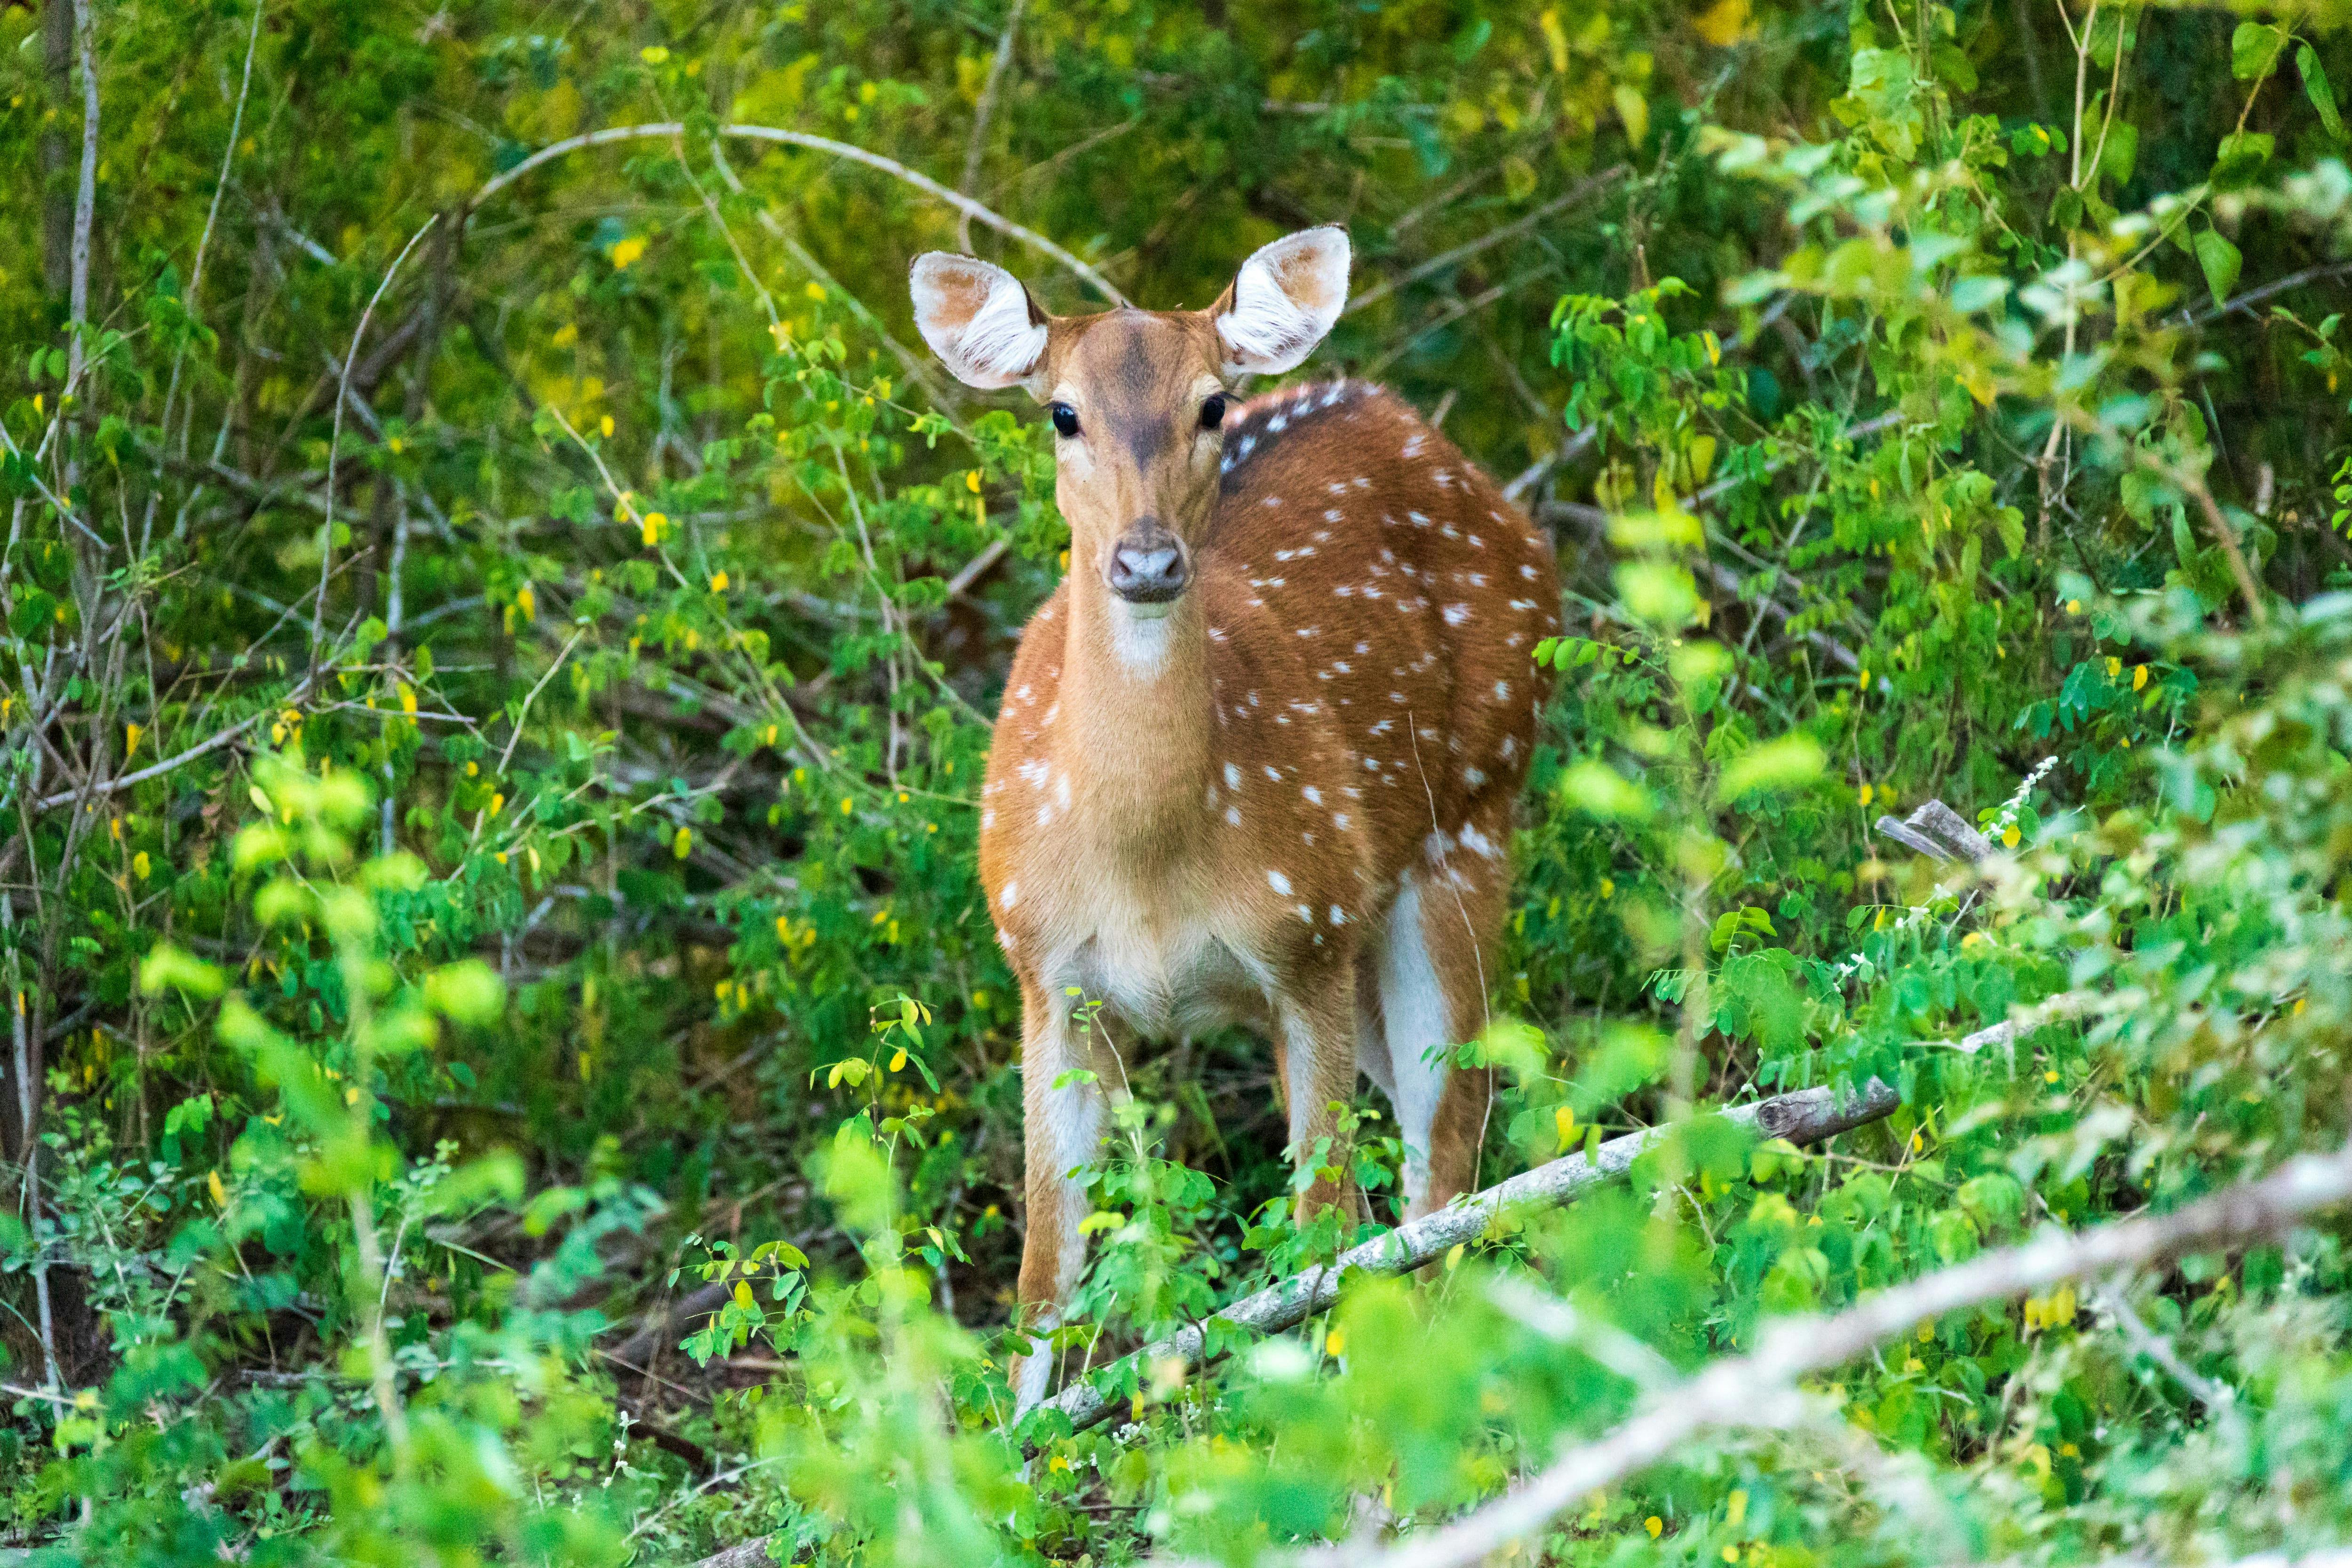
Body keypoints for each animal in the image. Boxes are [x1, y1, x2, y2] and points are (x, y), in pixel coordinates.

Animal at [908, 223, 1552, 1410]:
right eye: (1060, 412)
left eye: (1212, 402)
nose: (1148, 560)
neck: (1148, 864)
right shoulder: (1043, 966)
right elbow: (1043, 1271)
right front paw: (1020, 1446)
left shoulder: (1304, 935)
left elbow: (1319, 1226)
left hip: (1468, 817)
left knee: (1446, 1137)